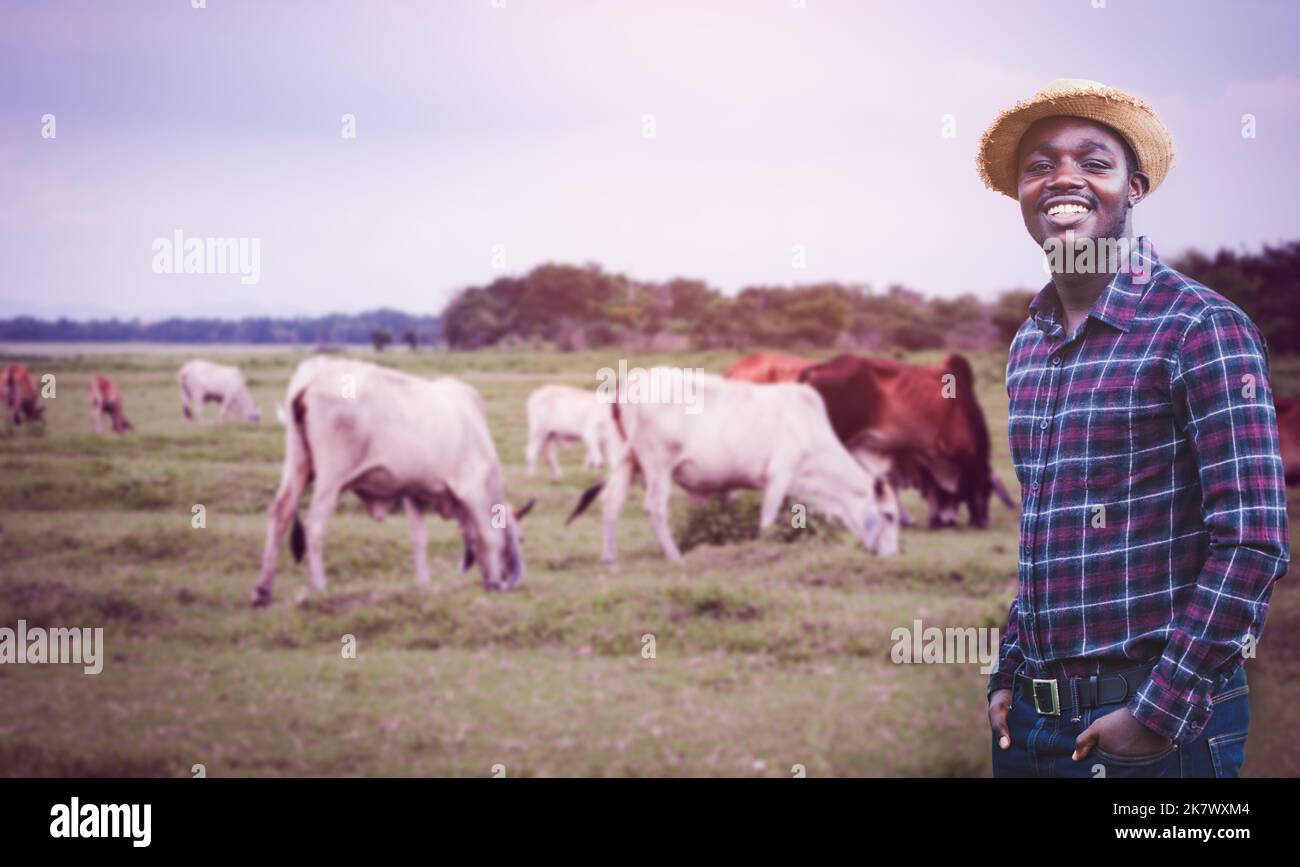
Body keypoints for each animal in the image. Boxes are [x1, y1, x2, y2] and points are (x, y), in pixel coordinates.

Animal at [250, 356, 535, 608]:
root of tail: (313, 376)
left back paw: (263, 591)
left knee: (280, 513)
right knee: (315, 524)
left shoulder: (414, 493)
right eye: (520, 539)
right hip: (332, 477)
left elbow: (420, 540)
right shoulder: (473, 489)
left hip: (297, 465)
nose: (505, 580)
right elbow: (489, 536)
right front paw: (494, 581)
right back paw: (319, 585)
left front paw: (424, 584)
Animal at [569, 371, 904, 564]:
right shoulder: (778, 478)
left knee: (610, 502)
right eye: (888, 515)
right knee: (654, 508)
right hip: (657, 465)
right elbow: (767, 521)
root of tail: (632, 383)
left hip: (627, 461)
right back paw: (675, 556)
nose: (891, 555)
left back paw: (609, 558)